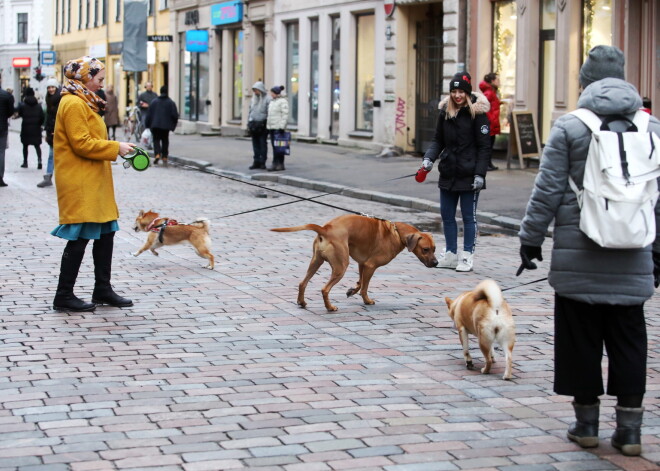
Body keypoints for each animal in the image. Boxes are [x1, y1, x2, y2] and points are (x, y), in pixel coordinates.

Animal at [270, 215, 436, 312]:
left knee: (302, 283)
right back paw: (330, 307)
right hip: (340, 266)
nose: (436, 263)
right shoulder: (370, 266)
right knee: (325, 289)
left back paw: (302, 302)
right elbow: (364, 288)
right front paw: (367, 301)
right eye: (425, 249)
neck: (396, 232)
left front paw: (351, 291)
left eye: (434, 248)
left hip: (316, 262)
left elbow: (360, 282)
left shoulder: (363, 264)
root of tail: (326, 228)